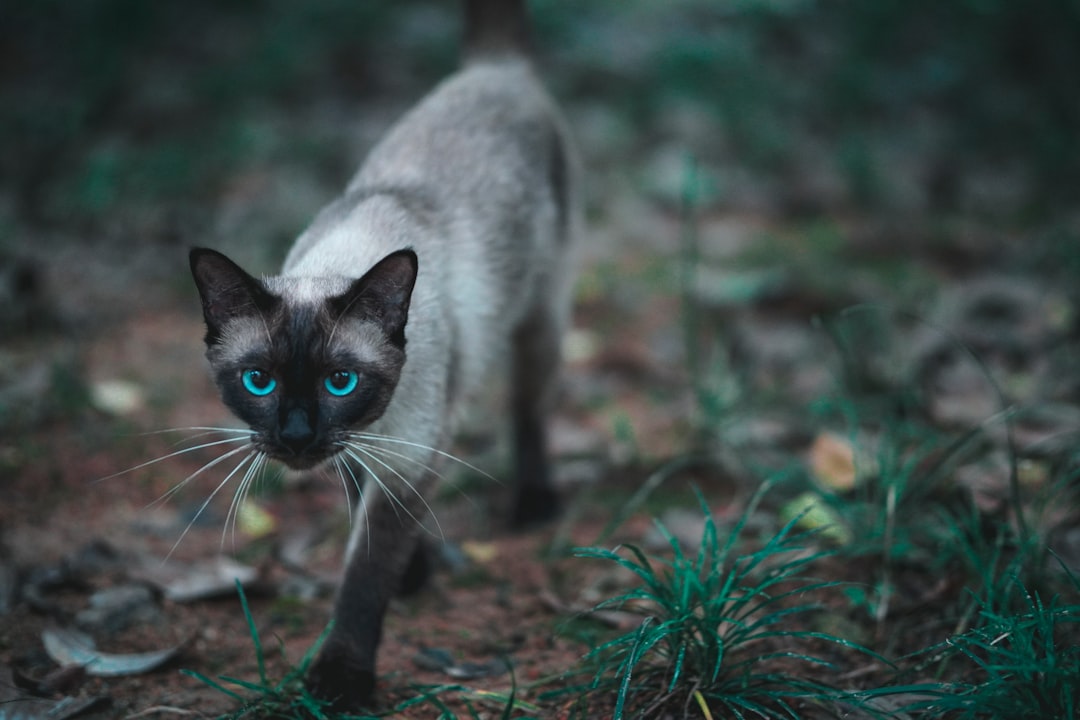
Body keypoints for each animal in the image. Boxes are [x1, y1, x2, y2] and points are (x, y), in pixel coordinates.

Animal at [186, 0, 583, 708]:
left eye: (339, 382)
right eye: (258, 381)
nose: (296, 437)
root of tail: (497, 68)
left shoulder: (408, 451)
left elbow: (364, 575)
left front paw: (340, 683)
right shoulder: (366, 446)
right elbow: (360, 510)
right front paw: (414, 573)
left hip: (541, 319)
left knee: (528, 409)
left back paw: (535, 504)